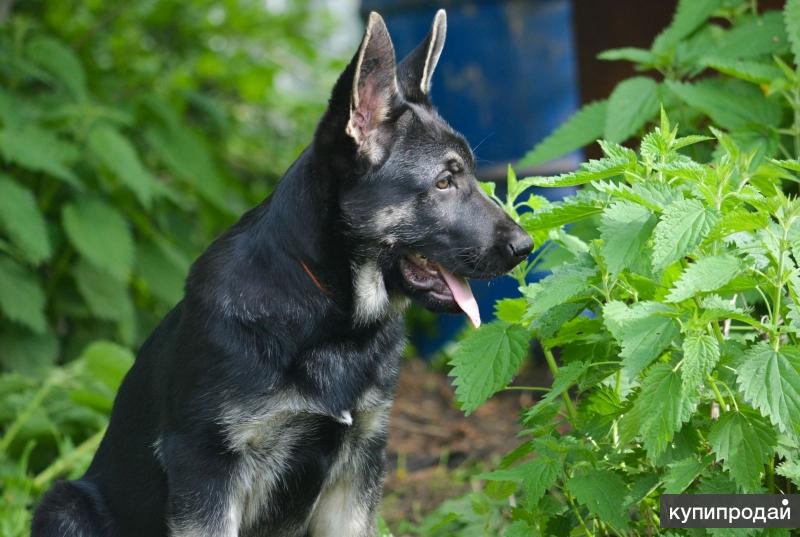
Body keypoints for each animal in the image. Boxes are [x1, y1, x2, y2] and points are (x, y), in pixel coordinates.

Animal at [31, 9, 532, 536]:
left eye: (469, 175)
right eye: (443, 182)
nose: (526, 247)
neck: (328, 315)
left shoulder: (357, 472)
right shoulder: (207, 473)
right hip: (64, 505)